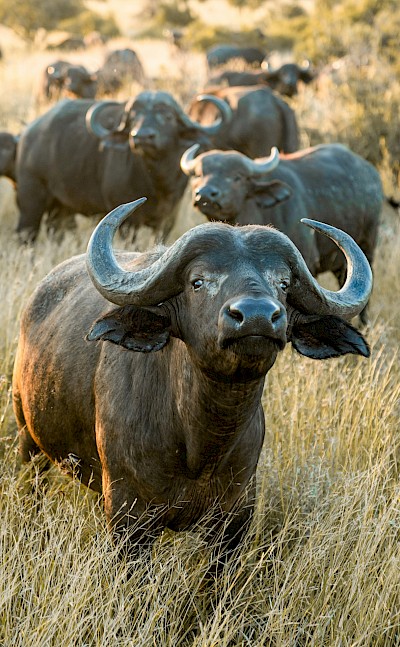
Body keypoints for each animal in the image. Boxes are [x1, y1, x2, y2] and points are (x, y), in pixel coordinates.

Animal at [13, 198, 372, 555]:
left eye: (283, 283)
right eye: (198, 281)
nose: (256, 316)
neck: (201, 445)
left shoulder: (234, 520)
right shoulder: (129, 519)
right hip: (27, 436)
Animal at [15, 91, 231, 243]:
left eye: (167, 116)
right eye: (134, 117)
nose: (141, 136)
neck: (157, 182)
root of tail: (28, 134)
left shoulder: (169, 218)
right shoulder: (128, 222)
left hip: (61, 207)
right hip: (30, 199)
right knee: (26, 233)